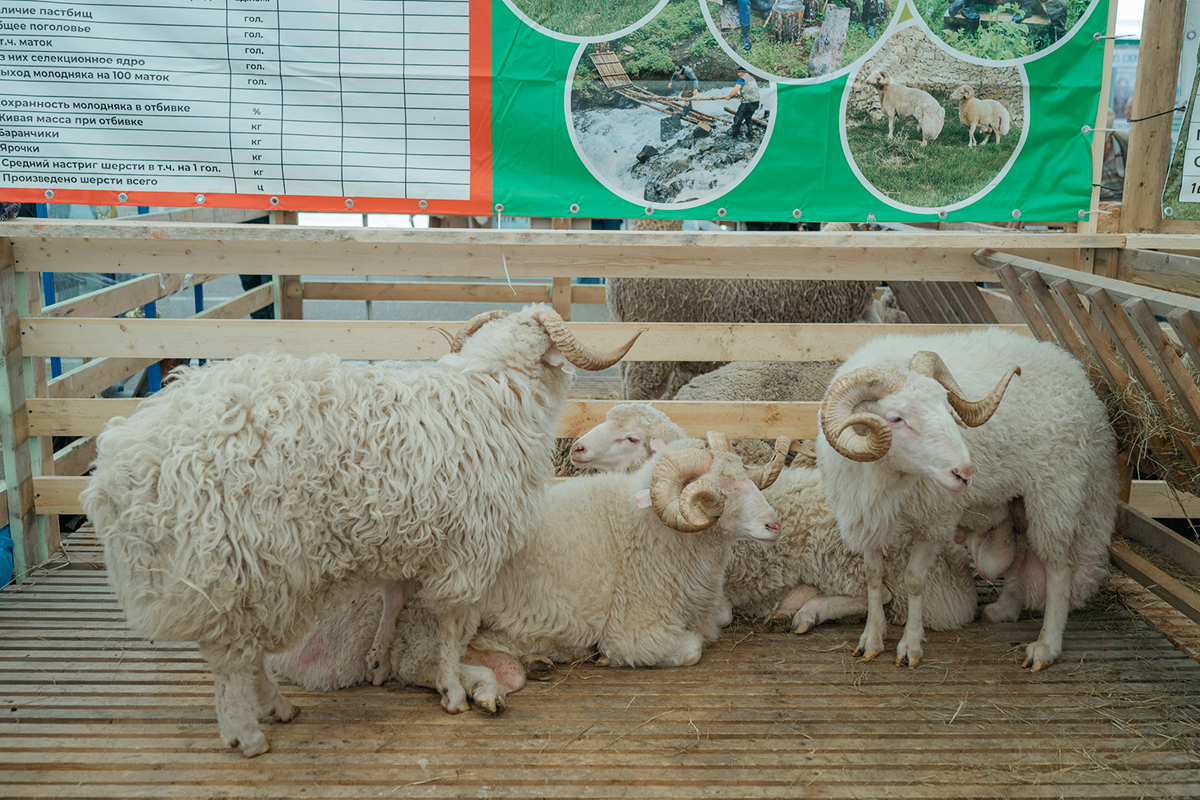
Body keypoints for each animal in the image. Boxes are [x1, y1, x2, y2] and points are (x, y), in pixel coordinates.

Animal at [79, 302, 643, 758]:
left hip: (251, 574)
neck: (492, 392)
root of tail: (122, 470)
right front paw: (452, 692)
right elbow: (449, 629)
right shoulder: (468, 552)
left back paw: (275, 709)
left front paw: (379, 661)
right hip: (234, 563)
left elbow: (396, 602)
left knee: (245, 652)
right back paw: (249, 732)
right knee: (231, 657)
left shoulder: (416, 541)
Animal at [270, 431, 787, 695]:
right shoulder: (635, 632)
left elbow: (716, 624)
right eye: (716, 493)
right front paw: (603, 658)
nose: (774, 525)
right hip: (436, 608)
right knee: (414, 662)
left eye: (745, 476)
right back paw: (482, 686)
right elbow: (692, 648)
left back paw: (521, 663)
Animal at [566, 402, 979, 633]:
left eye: (632, 438)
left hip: (840, 557)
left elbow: (721, 614)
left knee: (881, 596)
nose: (577, 447)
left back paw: (805, 611)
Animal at [820, 328, 1118, 671]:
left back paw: (1046, 647)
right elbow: (873, 577)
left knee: (1059, 566)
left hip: (1056, 492)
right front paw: (871, 639)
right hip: (1021, 500)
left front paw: (910, 646)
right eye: (895, 419)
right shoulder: (866, 519)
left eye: (949, 410)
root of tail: (1074, 371)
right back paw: (1004, 609)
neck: (890, 477)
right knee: (1023, 547)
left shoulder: (935, 523)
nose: (965, 472)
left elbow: (914, 580)